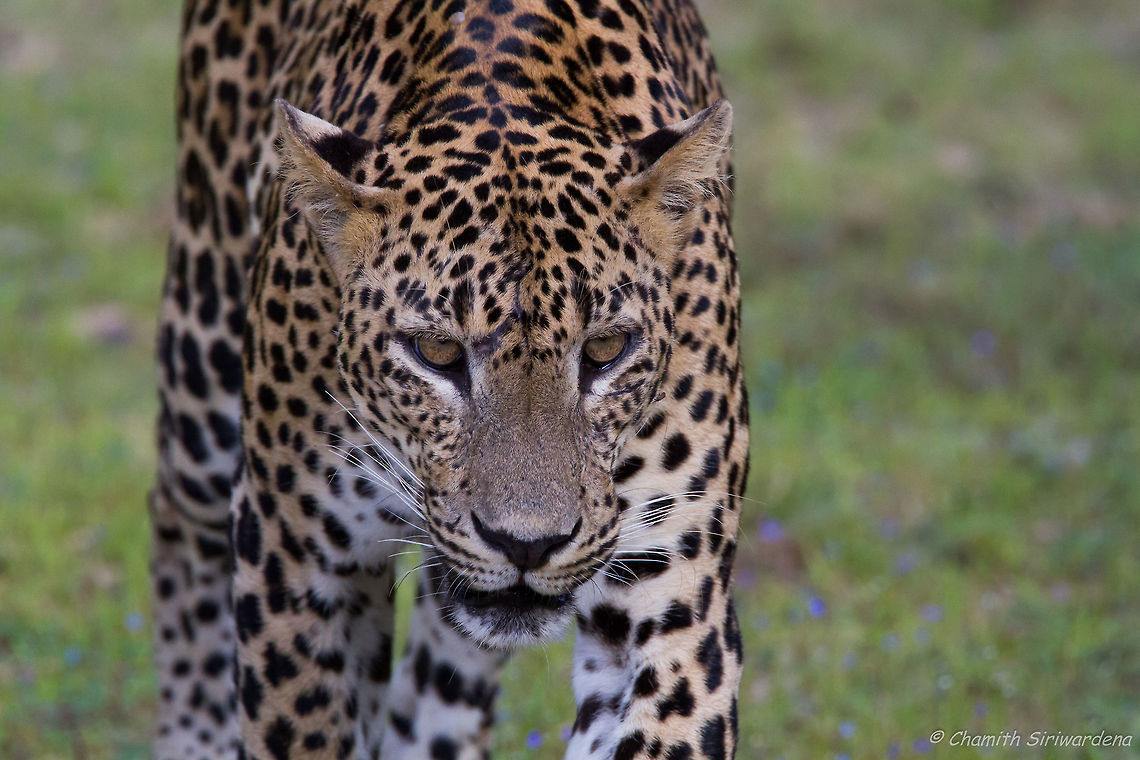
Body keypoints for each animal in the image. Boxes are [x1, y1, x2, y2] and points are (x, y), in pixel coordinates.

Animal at [150, 1, 749, 758]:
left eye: (607, 348)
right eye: (436, 352)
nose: (527, 544)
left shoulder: (671, 597)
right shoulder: (298, 563)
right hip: (201, 357)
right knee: (180, 521)